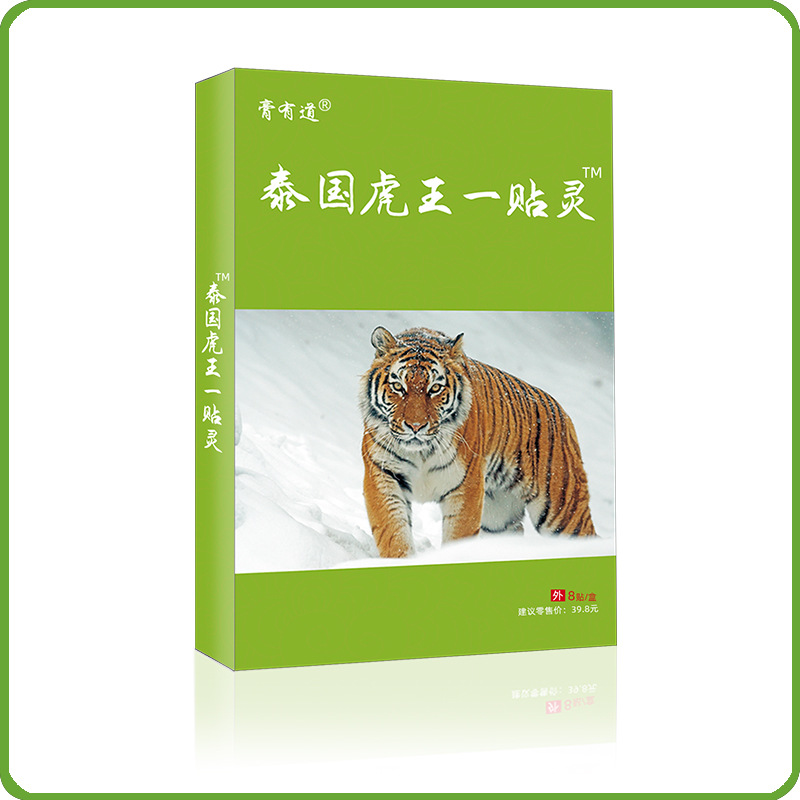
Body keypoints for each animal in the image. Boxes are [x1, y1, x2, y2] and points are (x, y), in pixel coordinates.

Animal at [360, 326, 596, 558]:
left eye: (435, 388)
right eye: (398, 386)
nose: (416, 426)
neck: (421, 452)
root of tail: (563, 413)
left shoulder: (466, 487)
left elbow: (458, 536)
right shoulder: (383, 476)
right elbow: (393, 533)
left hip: (562, 509)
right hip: (499, 516)